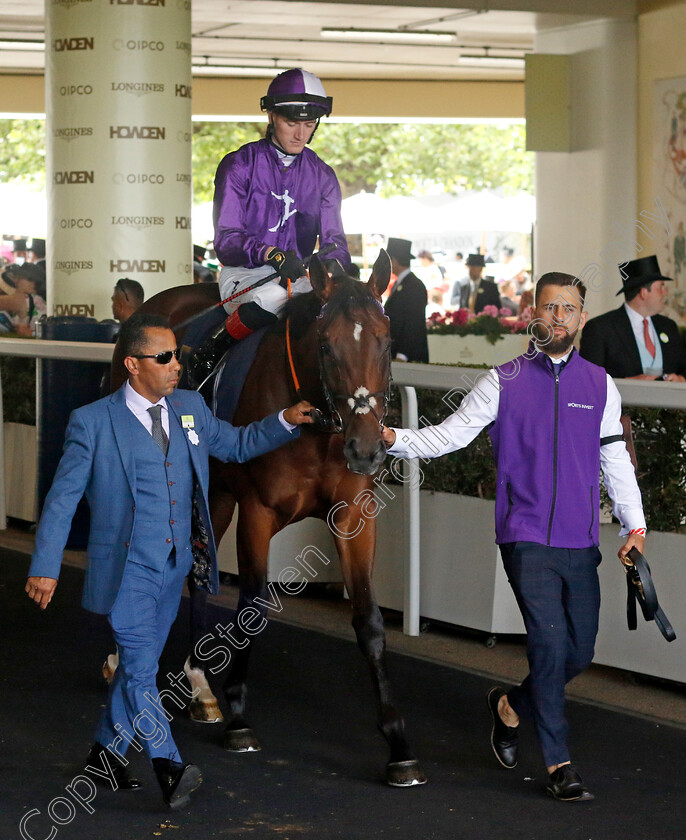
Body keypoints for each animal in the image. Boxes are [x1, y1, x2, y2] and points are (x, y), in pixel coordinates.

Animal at [111, 254, 428, 788]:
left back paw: (200, 687)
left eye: (386, 341)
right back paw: (121, 659)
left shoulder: (353, 515)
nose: (366, 448)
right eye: (326, 344)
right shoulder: (258, 510)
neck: (319, 428)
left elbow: (369, 620)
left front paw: (399, 743)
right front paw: (240, 719)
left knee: (196, 576)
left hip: (213, 494)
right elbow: (252, 607)